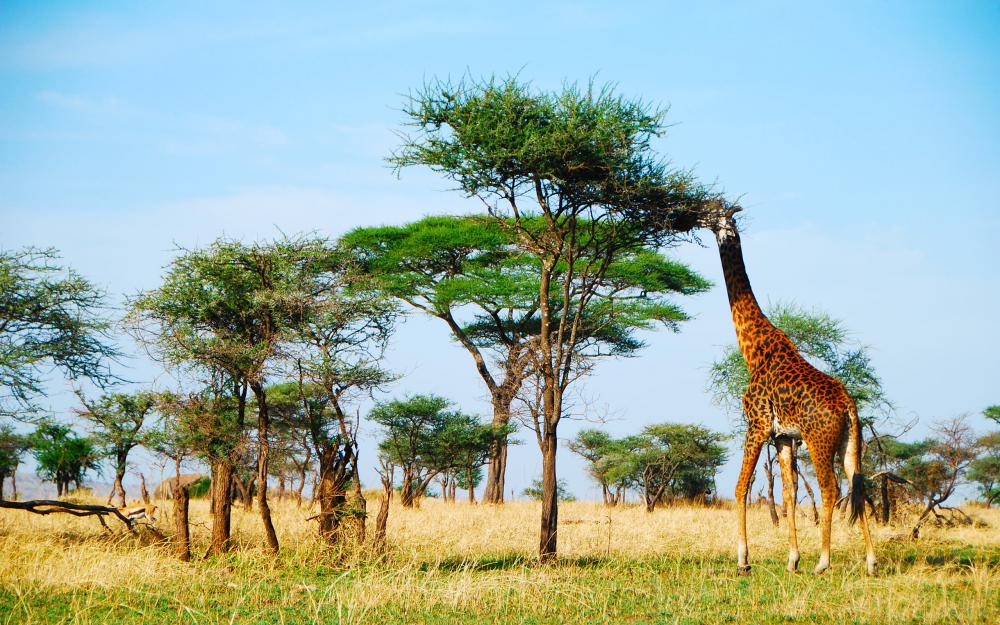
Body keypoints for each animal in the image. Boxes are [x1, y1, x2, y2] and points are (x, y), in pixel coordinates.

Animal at [704, 201, 877, 576]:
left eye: (711, 213)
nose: (690, 213)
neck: (753, 348)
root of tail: (848, 405)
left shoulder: (756, 424)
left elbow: (740, 488)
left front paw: (743, 559)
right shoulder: (783, 436)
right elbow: (788, 493)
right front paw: (792, 559)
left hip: (819, 440)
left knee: (830, 488)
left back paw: (823, 562)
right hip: (850, 442)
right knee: (858, 484)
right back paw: (871, 561)